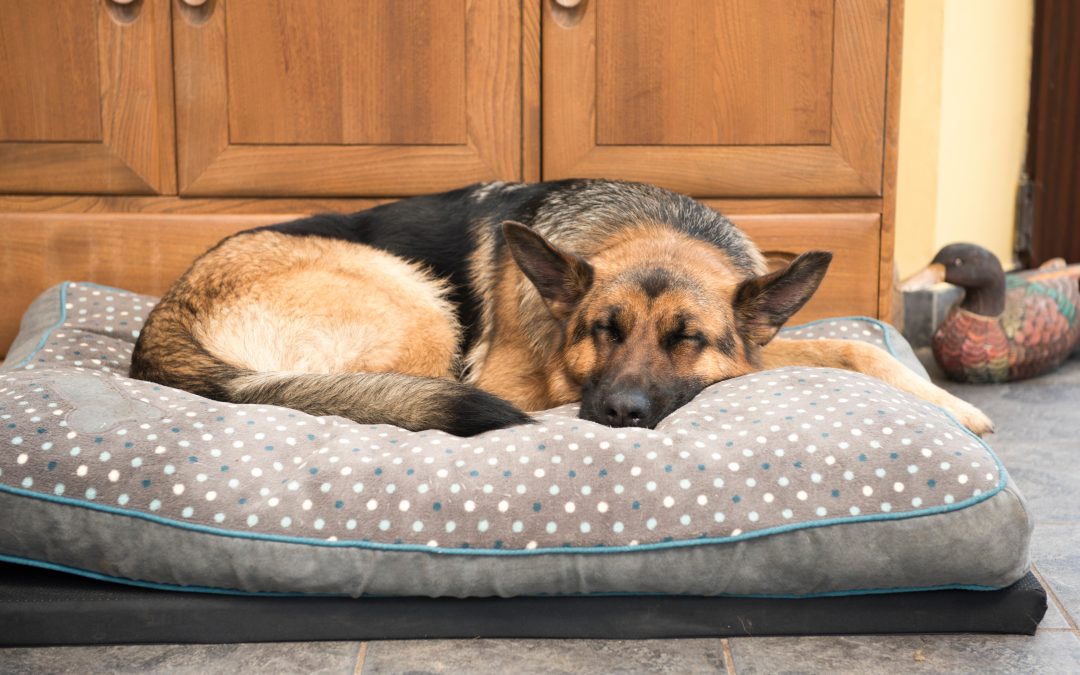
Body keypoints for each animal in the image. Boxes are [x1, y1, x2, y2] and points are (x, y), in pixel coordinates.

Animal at [128, 179, 993, 436]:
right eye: (600, 331)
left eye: (688, 339)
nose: (620, 413)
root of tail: (164, 314)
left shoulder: (752, 347)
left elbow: (860, 345)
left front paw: (950, 406)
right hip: (418, 304)